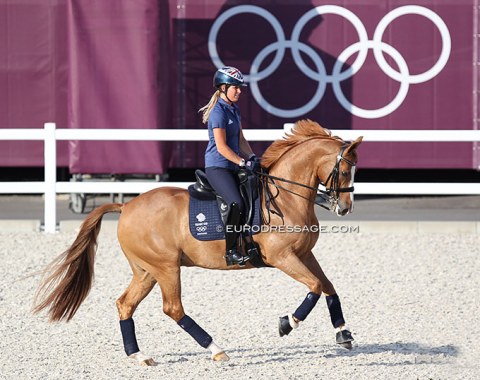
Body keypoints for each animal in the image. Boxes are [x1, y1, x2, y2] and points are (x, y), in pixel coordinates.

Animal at [33, 119, 362, 366]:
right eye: (345, 170)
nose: (345, 208)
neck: (286, 196)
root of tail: (126, 206)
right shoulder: (283, 258)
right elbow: (315, 287)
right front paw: (287, 323)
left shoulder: (304, 255)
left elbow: (328, 286)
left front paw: (344, 334)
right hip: (166, 268)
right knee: (173, 309)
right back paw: (216, 349)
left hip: (146, 271)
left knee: (125, 304)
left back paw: (140, 356)